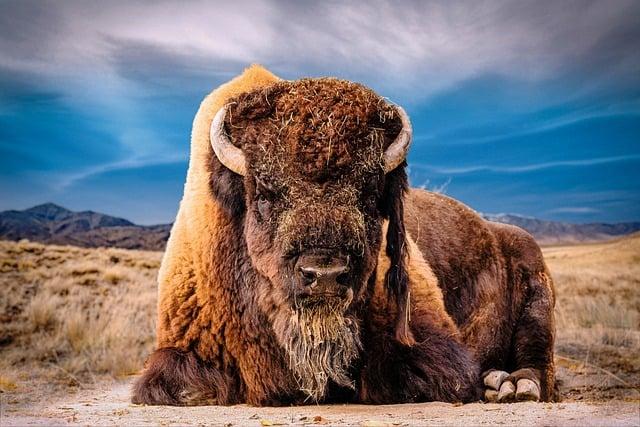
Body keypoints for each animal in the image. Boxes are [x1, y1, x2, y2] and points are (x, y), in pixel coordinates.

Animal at [131, 65, 556, 406]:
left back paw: (511, 387)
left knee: (538, 360)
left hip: (536, 289)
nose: (325, 275)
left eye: (368, 194)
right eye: (264, 194)